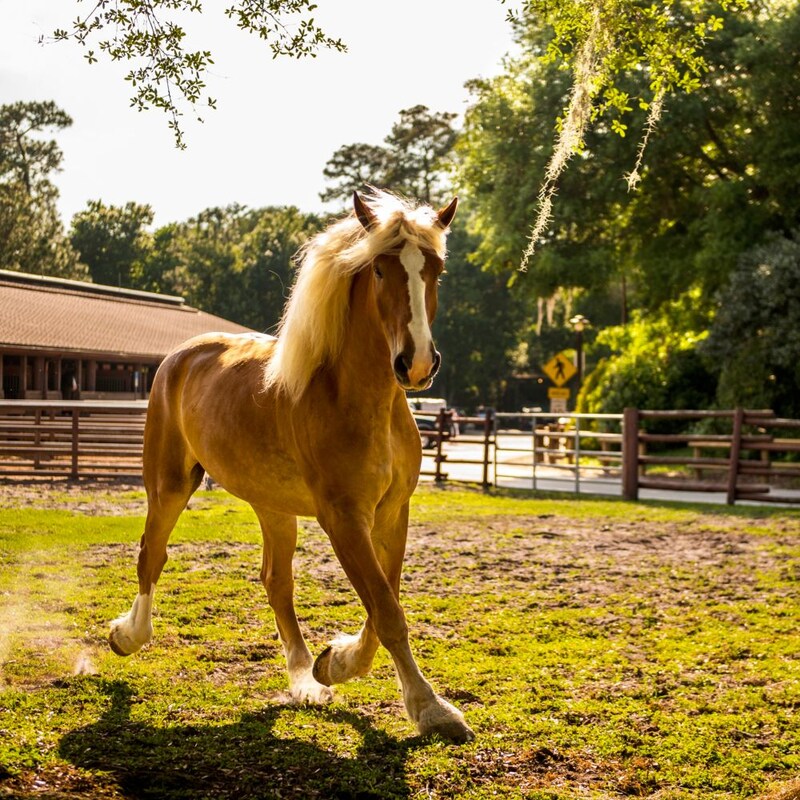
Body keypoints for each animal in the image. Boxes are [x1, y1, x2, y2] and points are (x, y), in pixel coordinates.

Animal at [108, 190, 474, 744]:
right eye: (380, 269)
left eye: (435, 269)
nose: (414, 363)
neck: (357, 399)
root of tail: (180, 357)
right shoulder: (343, 517)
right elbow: (387, 611)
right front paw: (431, 709)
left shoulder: (392, 513)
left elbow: (383, 604)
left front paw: (335, 664)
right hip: (170, 485)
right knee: (152, 555)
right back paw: (127, 636)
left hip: (274, 507)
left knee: (276, 583)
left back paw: (305, 680)